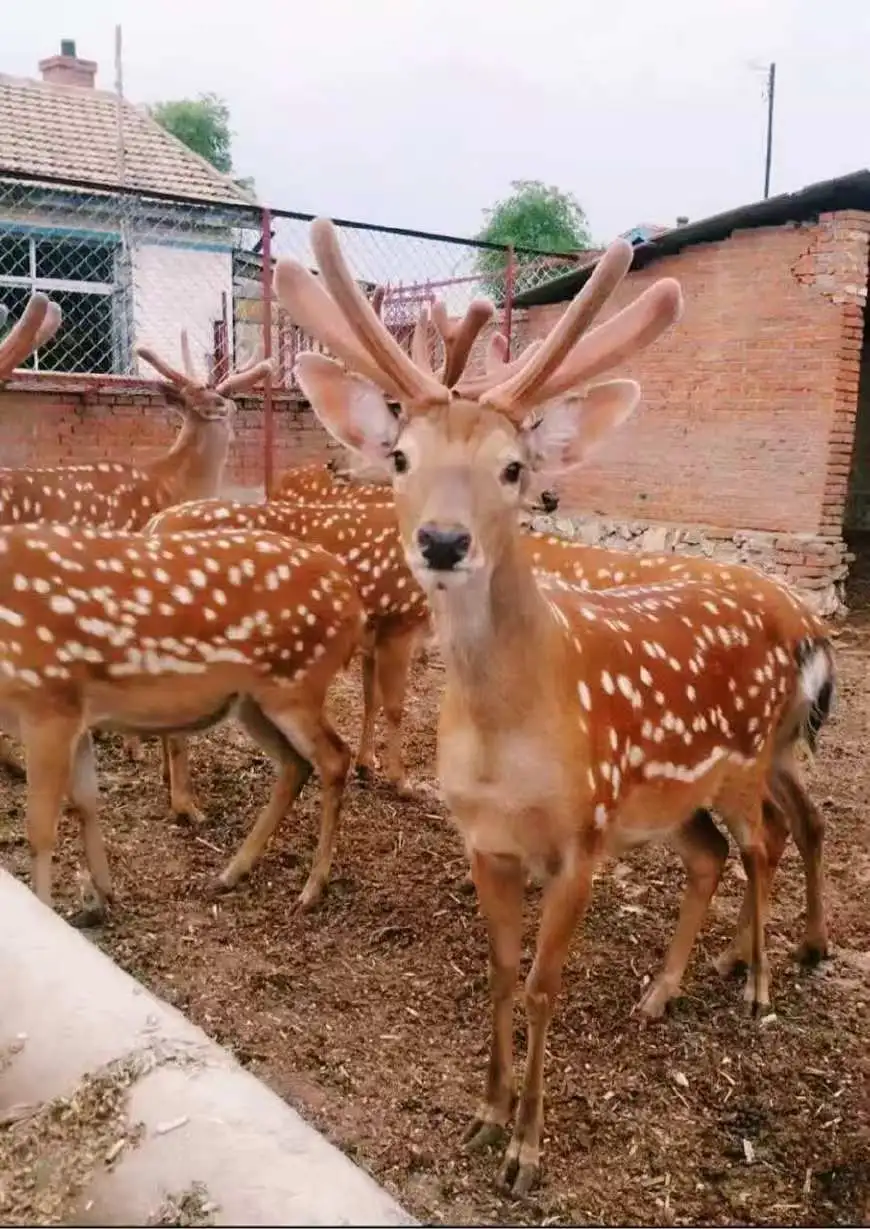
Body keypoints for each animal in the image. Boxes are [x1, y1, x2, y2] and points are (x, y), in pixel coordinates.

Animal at [0, 518, 366, 923]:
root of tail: (355, 603)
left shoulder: (48, 703)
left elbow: (40, 828)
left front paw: (49, 912)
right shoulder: (77, 714)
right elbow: (86, 801)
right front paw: (105, 895)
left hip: (294, 685)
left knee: (335, 758)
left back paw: (311, 888)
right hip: (253, 701)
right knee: (296, 764)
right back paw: (230, 873)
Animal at [272, 218, 837, 1195]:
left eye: (512, 466)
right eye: (402, 456)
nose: (443, 540)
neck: (509, 747)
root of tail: (799, 622)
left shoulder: (581, 837)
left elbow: (542, 984)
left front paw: (528, 1149)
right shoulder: (485, 839)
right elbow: (501, 971)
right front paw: (483, 1114)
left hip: (746, 756)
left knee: (762, 841)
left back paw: (761, 981)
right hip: (669, 798)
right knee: (712, 855)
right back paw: (663, 990)